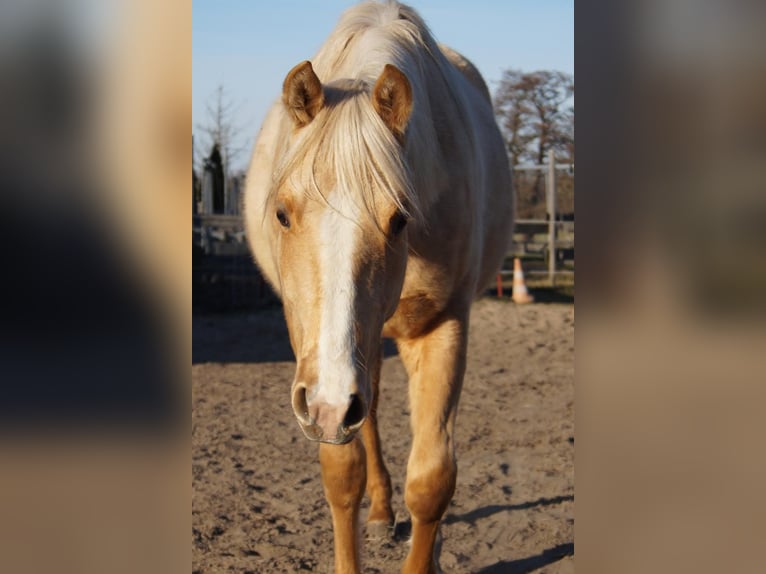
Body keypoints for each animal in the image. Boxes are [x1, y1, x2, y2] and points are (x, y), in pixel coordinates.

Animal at [246, 2, 510, 572]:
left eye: (400, 219)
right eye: (281, 214)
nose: (328, 405)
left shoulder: (443, 325)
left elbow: (432, 480)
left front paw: (427, 551)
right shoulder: (312, 349)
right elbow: (343, 474)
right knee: (366, 419)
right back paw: (381, 513)